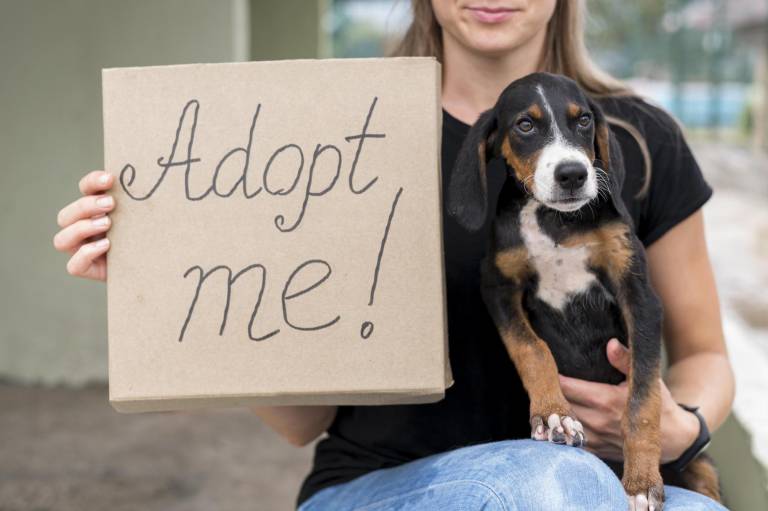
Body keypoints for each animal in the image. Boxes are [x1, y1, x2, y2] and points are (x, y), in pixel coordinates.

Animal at [448, 73, 716, 511]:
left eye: (584, 120)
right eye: (525, 125)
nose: (572, 173)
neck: (558, 221)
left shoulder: (639, 297)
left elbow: (643, 400)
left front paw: (641, 482)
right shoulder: (497, 286)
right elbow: (532, 349)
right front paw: (553, 413)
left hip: (701, 464)